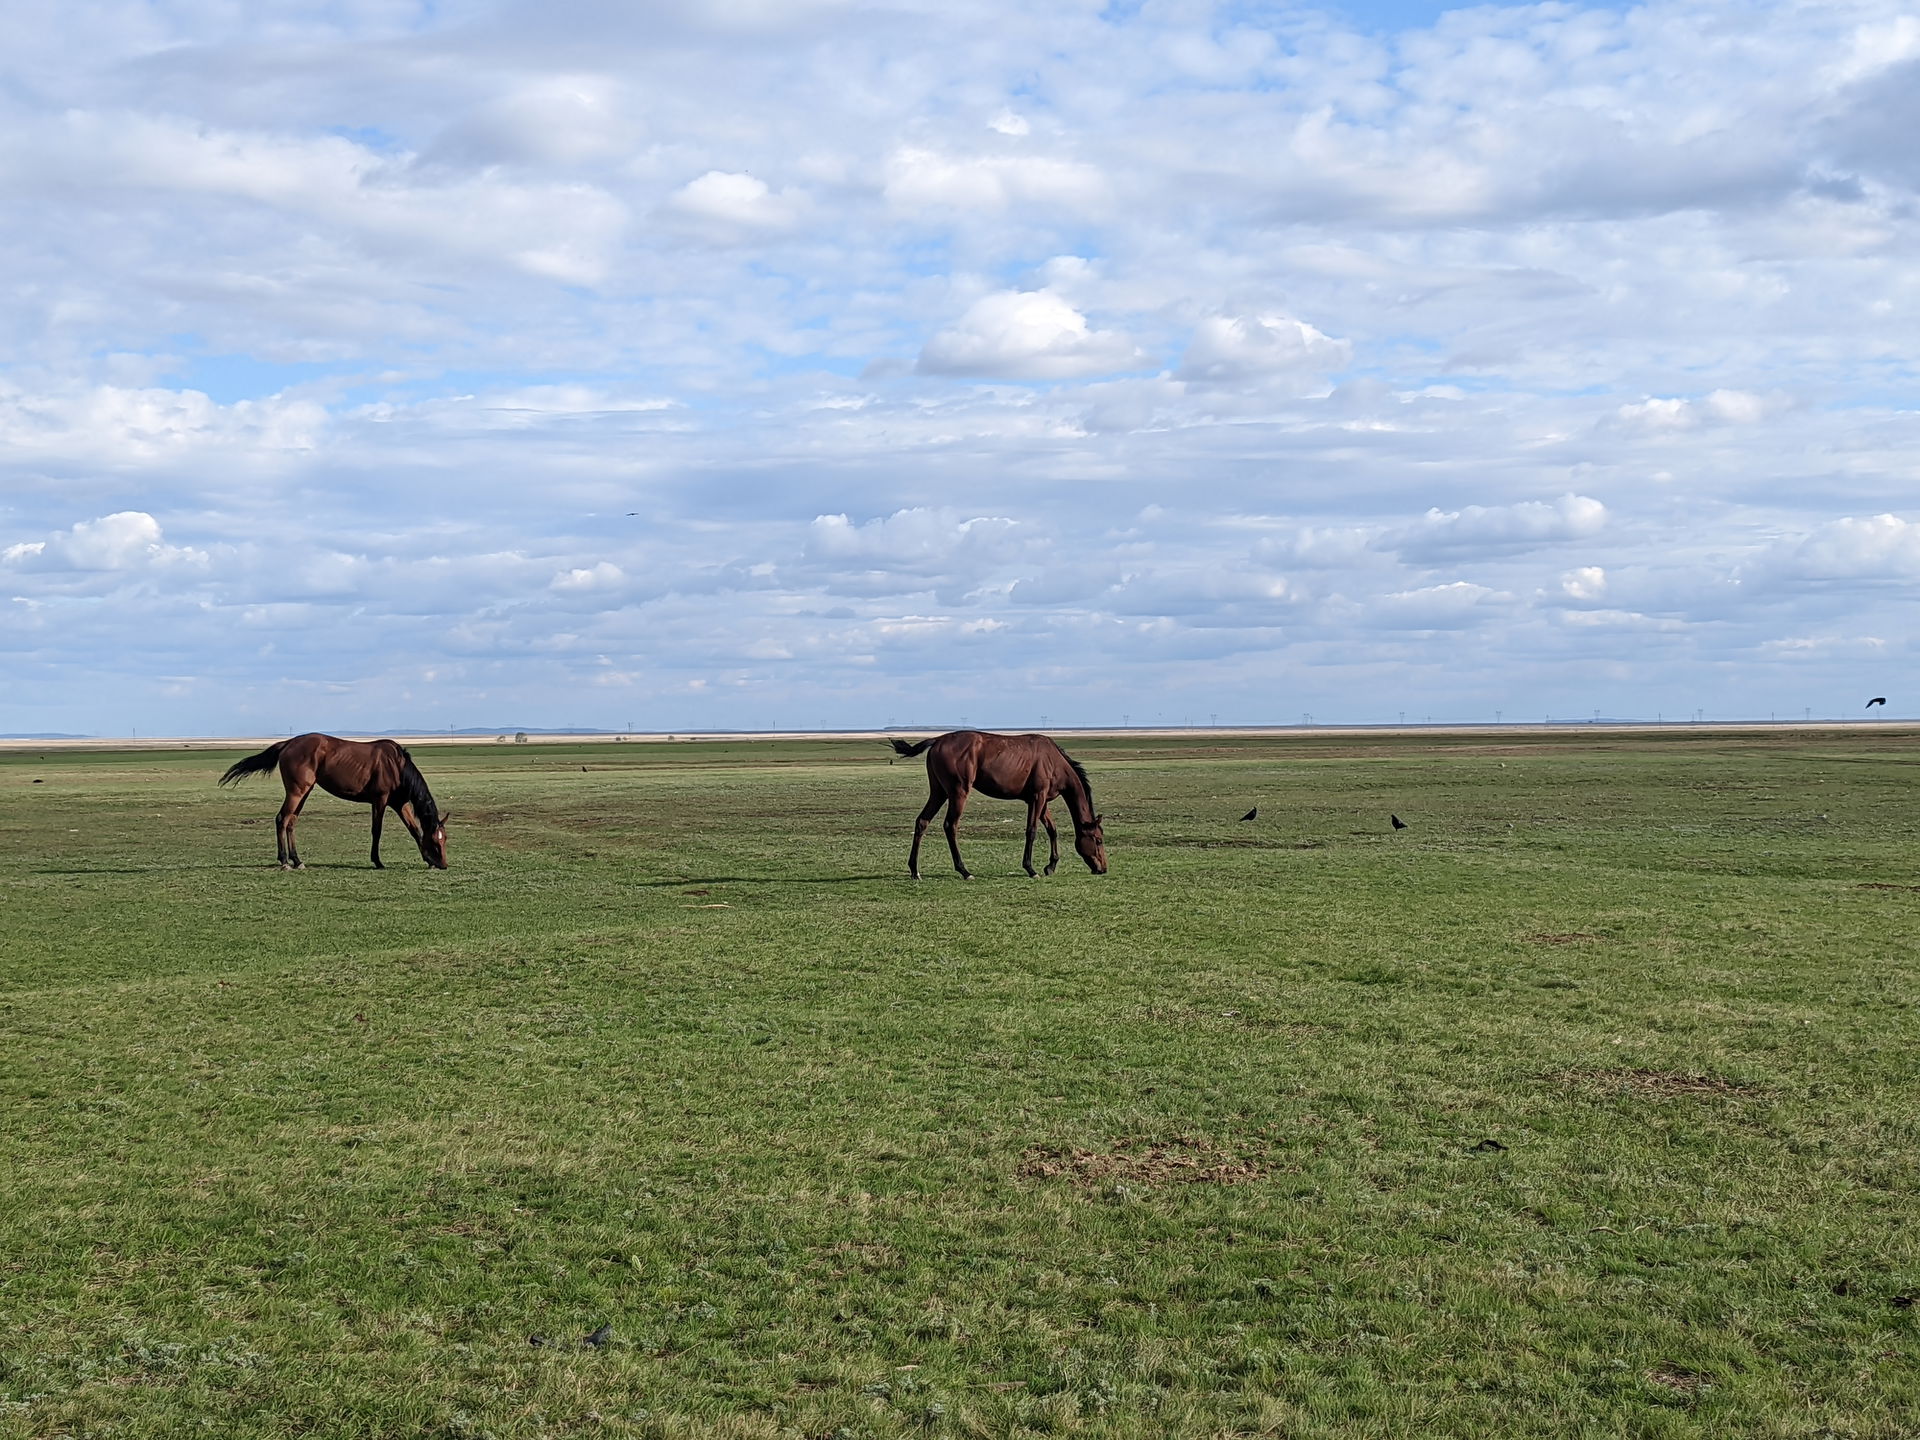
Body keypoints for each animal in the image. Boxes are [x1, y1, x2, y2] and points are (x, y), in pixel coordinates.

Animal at [219, 734, 450, 870]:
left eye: (444, 839)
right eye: (436, 841)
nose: (444, 864)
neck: (396, 766)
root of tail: (288, 743)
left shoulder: (399, 803)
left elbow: (414, 830)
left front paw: (428, 860)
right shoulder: (380, 800)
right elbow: (377, 830)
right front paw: (377, 861)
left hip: (304, 792)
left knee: (291, 822)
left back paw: (297, 860)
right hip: (296, 792)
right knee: (282, 819)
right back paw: (284, 861)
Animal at [890, 730, 1106, 880]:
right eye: (1098, 840)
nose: (1103, 869)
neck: (1054, 761)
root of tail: (937, 740)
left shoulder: (1042, 801)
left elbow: (1052, 830)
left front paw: (1050, 866)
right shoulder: (1037, 798)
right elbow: (1032, 831)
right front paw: (1031, 868)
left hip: (939, 792)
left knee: (922, 822)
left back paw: (915, 871)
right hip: (958, 793)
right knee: (950, 826)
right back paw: (964, 871)